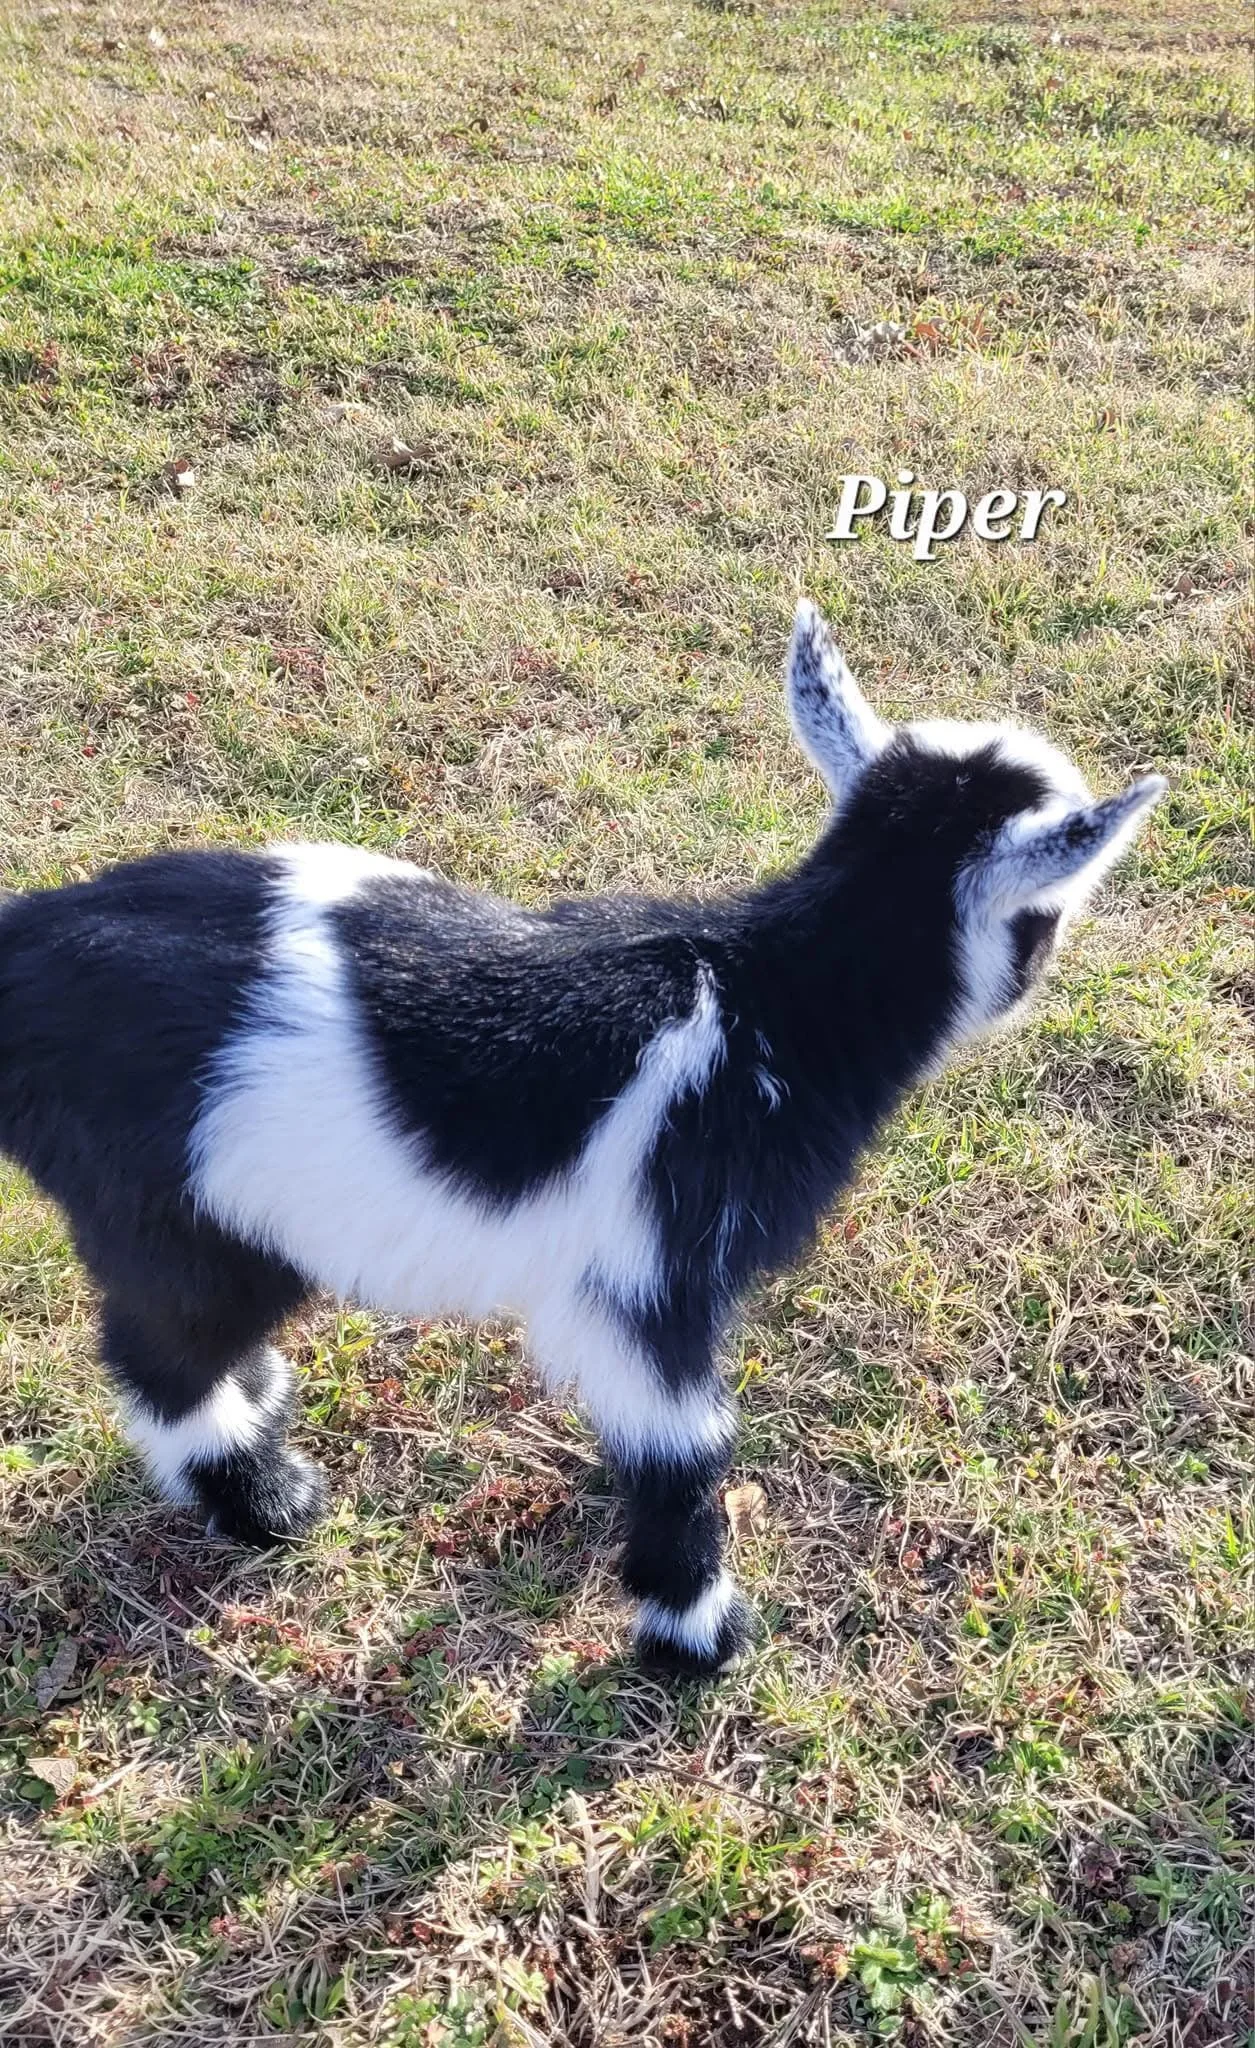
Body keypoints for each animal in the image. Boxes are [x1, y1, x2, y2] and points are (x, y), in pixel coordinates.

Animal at [0, 602, 1165, 1674]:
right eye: (1052, 911)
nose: (1040, 972)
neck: (772, 998)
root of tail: (29, 949)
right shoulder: (655, 1266)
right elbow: (681, 1446)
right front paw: (696, 1633)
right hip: (180, 1202)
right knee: (159, 1349)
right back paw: (264, 1498)